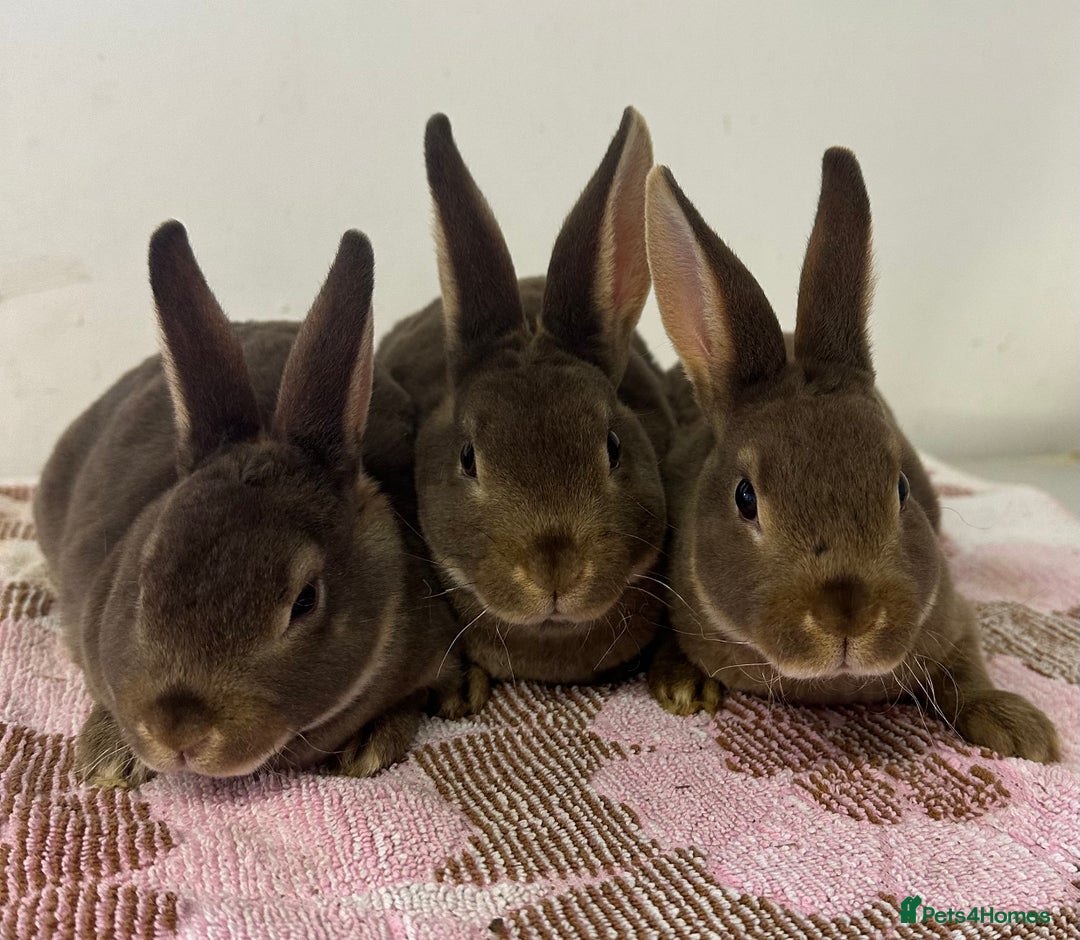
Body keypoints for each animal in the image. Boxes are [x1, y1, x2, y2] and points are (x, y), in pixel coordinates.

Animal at [642, 149, 1060, 763]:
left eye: (901, 487)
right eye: (745, 498)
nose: (848, 617)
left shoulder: (952, 616)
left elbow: (967, 672)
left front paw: (1022, 730)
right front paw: (684, 686)